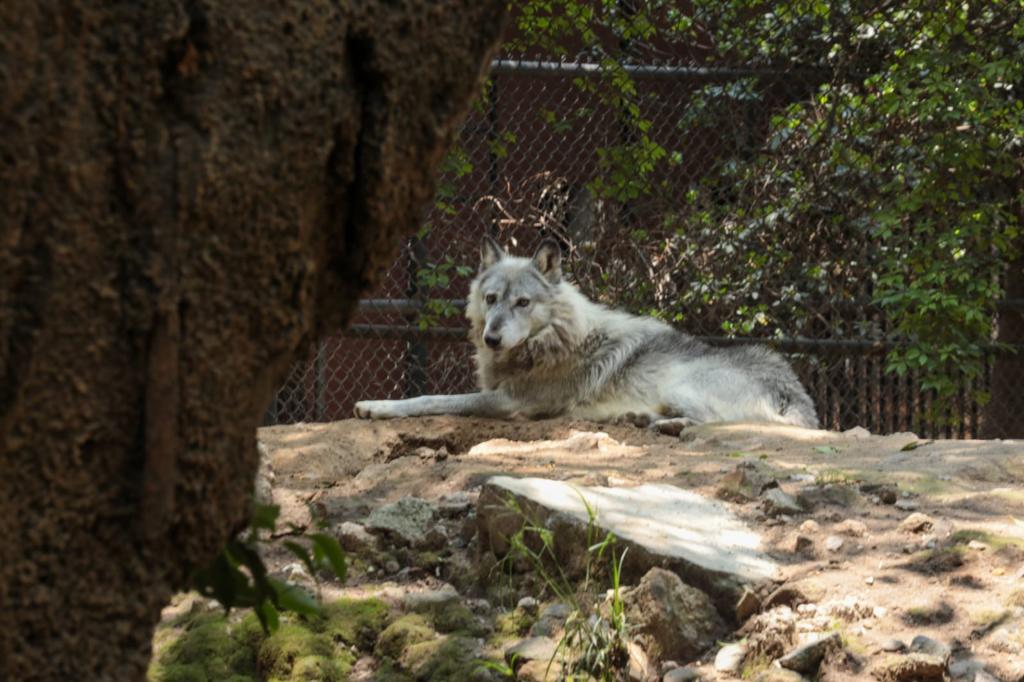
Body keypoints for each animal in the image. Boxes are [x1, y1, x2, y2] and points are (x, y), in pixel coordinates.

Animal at [356, 237, 819, 430]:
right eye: (491, 299)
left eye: (523, 303)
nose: (491, 339)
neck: (553, 339)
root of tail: (796, 394)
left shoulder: (510, 402)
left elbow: (430, 399)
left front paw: (377, 406)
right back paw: (638, 418)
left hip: (682, 386)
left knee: (717, 423)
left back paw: (663, 425)